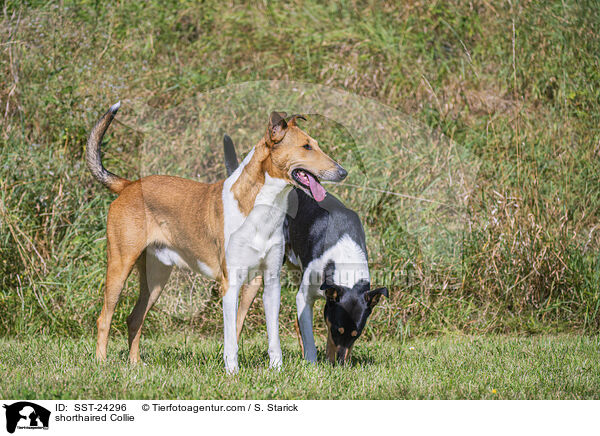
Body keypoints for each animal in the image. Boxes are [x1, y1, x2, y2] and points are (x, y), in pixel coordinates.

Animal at [85, 102, 346, 372]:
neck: (261, 207)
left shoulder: (270, 282)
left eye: (315, 144)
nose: (342, 172)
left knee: (134, 318)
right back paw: (101, 363)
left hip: (155, 277)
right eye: (306, 146)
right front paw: (232, 372)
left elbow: (273, 336)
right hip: (120, 266)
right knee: (104, 318)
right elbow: (231, 337)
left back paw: (136, 365)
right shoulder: (230, 283)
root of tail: (128, 185)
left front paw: (277, 370)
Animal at [225, 134, 390, 364]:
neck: (343, 257)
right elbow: (310, 336)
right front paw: (312, 363)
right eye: (336, 330)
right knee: (239, 317)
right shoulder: (304, 297)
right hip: (259, 276)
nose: (339, 365)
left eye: (356, 335)